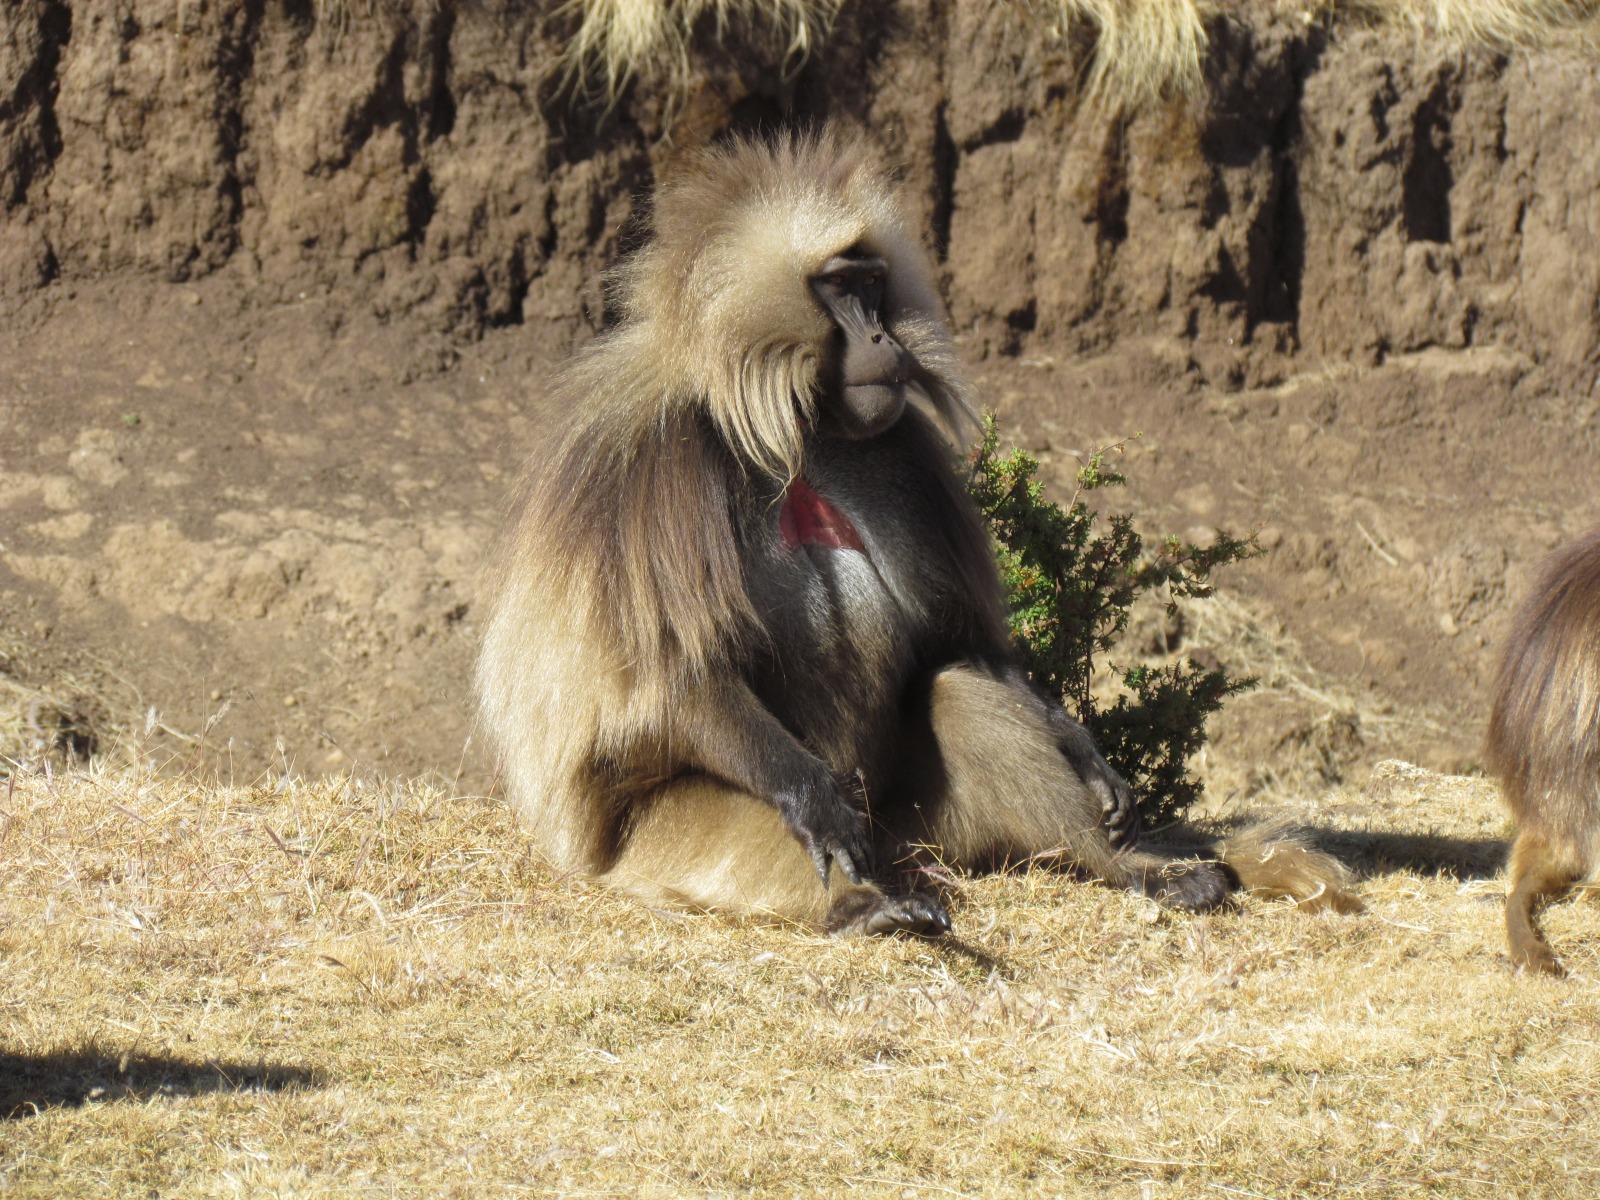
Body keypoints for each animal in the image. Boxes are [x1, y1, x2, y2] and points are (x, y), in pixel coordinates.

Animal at [476, 128, 1359, 936]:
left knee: (962, 697)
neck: (792, 422)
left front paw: (1090, 757)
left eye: (874, 286)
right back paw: (864, 904)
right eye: (839, 289)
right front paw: (812, 804)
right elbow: (675, 677)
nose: (882, 340)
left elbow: (954, 645)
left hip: (917, 829)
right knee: (779, 832)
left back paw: (1145, 871)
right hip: (655, 842)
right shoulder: (652, 470)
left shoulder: (901, 454)